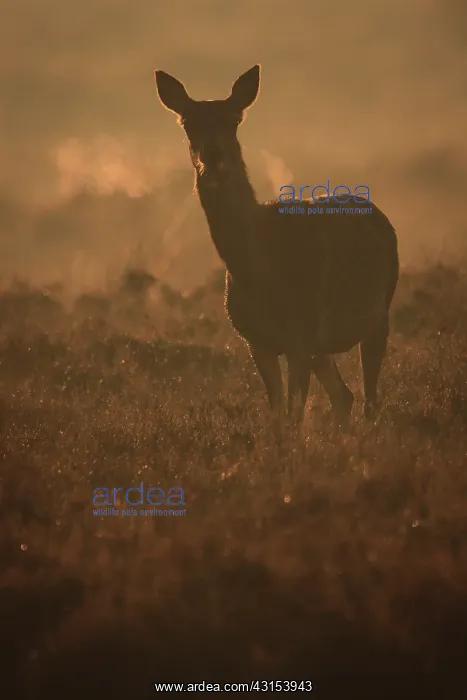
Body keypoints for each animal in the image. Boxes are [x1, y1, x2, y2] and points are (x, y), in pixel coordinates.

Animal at [153, 64, 399, 429]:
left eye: (234, 120)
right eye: (187, 123)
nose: (213, 154)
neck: (259, 270)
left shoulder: (301, 333)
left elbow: (294, 415)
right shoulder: (257, 340)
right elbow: (277, 414)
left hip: (379, 310)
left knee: (370, 398)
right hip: (322, 344)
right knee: (345, 396)